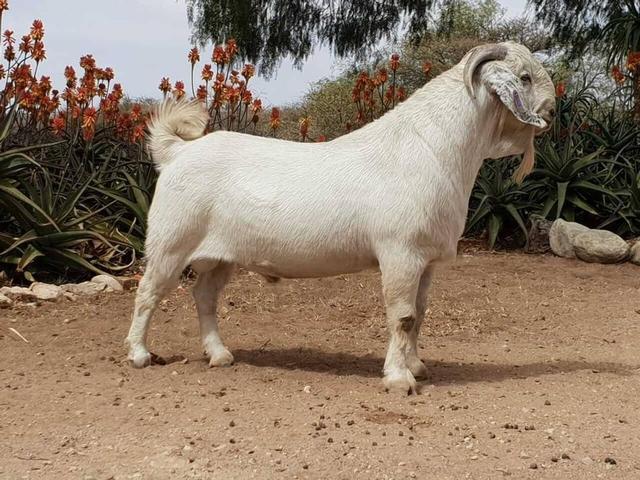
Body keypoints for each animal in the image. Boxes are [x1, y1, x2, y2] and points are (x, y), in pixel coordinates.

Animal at [126, 41, 555, 393]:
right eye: (524, 77)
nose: (552, 110)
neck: (430, 148)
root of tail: (177, 151)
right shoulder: (400, 253)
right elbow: (402, 317)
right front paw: (399, 379)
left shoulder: (426, 260)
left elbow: (419, 315)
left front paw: (417, 365)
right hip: (171, 241)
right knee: (148, 292)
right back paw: (139, 354)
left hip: (220, 256)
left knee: (204, 297)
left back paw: (219, 354)